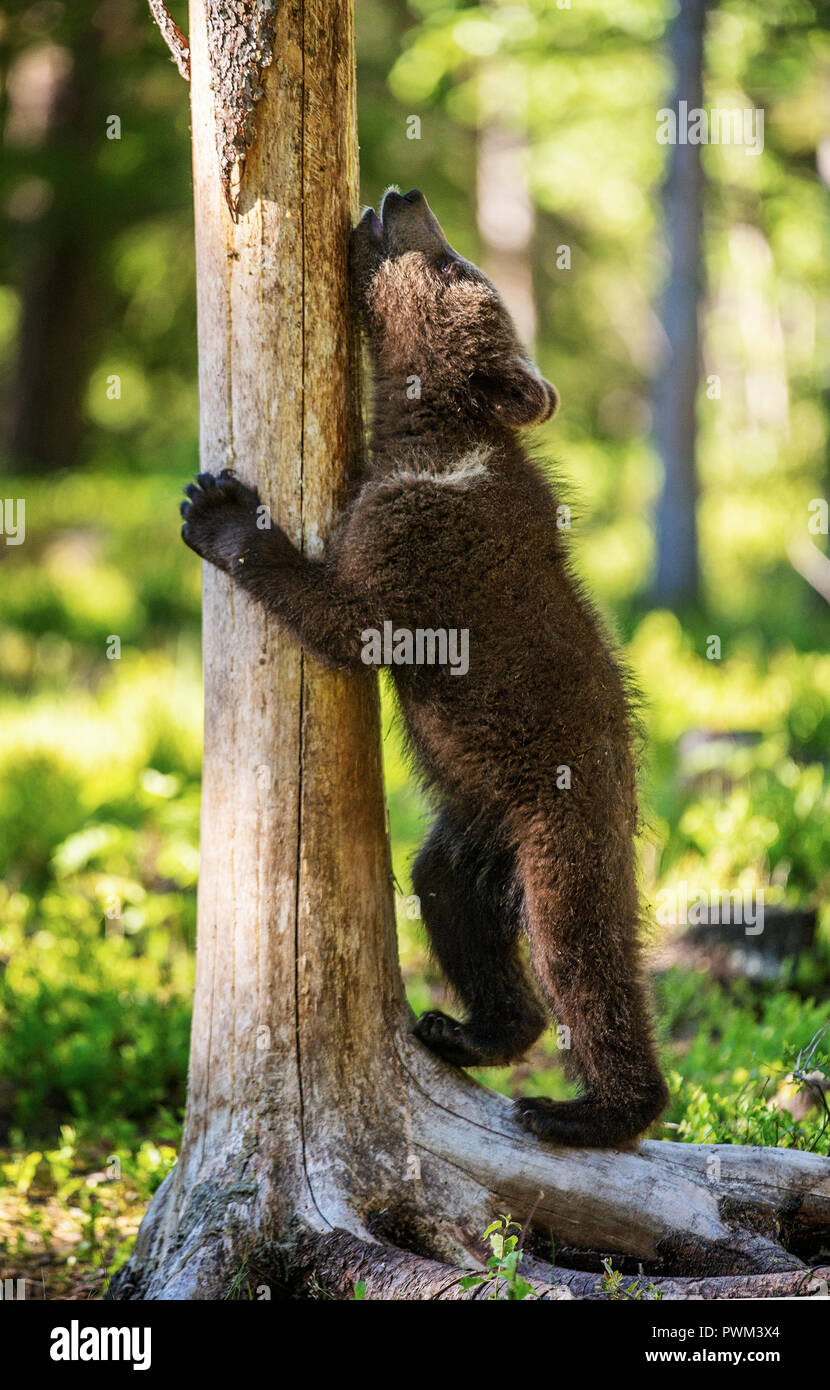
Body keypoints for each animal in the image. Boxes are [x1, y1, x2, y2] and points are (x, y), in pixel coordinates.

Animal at [180, 186, 670, 1148]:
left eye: (452, 263)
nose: (403, 197)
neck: (425, 439)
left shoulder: (421, 551)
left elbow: (349, 626)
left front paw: (219, 510)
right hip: (474, 826)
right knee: (449, 895)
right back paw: (468, 1028)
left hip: (564, 818)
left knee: (579, 951)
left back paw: (588, 1108)